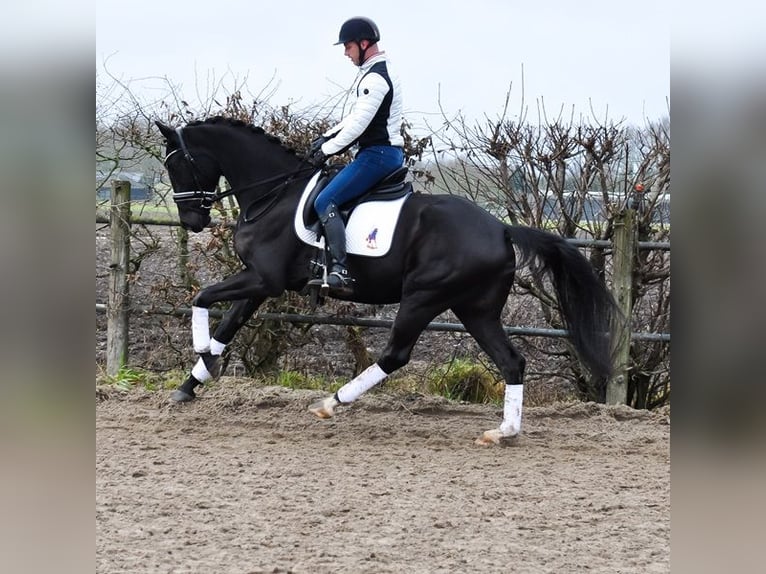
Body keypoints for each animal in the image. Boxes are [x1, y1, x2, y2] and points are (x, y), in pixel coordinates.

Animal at [156, 117, 616, 448]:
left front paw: (201, 356)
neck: (275, 195)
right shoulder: (258, 283)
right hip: (475, 309)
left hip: (424, 297)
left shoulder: (263, 280)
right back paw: (503, 432)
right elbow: (227, 325)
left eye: (177, 164)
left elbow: (203, 298)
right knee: (511, 362)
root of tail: (501, 228)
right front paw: (191, 383)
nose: (192, 221)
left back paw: (331, 403)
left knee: (396, 354)